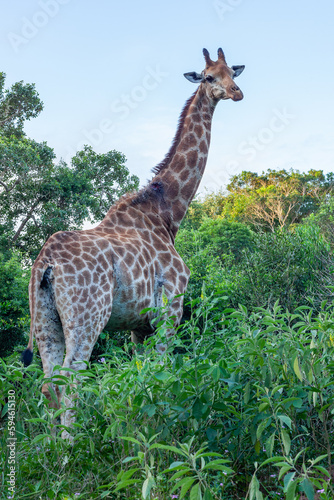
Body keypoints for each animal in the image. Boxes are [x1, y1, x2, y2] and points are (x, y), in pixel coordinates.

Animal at [22, 47, 244, 438]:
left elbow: (142, 379)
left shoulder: (138, 326)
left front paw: (140, 432)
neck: (167, 213)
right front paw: (166, 434)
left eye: (233, 71)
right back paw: (72, 447)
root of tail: (44, 264)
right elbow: (164, 375)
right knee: (72, 377)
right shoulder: (171, 308)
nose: (236, 92)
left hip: (45, 319)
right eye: (208, 77)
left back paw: (52, 451)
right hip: (87, 315)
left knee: (49, 383)